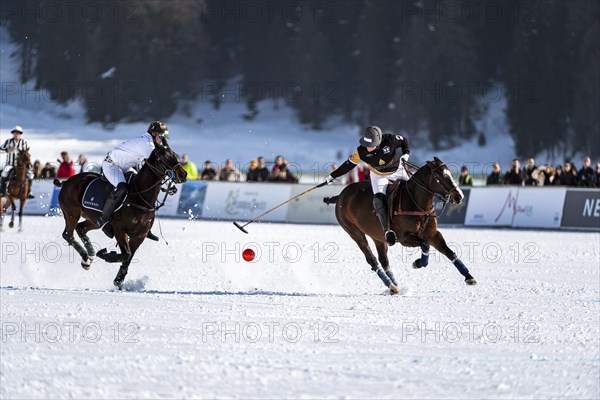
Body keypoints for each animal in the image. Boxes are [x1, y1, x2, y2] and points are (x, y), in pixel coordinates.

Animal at [56, 141, 189, 288]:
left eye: (175, 155)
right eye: (163, 157)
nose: (183, 175)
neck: (139, 196)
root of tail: (66, 182)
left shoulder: (140, 235)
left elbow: (128, 257)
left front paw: (119, 280)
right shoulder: (120, 230)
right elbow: (126, 254)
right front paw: (105, 254)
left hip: (94, 220)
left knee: (81, 228)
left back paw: (89, 255)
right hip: (71, 213)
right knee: (68, 234)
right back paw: (86, 257)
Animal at [326, 158, 476, 296]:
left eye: (450, 173)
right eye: (439, 178)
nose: (459, 197)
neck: (416, 203)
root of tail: (340, 195)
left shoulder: (433, 234)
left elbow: (449, 252)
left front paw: (469, 277)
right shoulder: (405, 238)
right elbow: (425, 245)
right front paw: (418, 263)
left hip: (378, 236)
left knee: (384, 260)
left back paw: (395, 285)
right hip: (355, 233)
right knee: (372, 259)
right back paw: (391, 286)